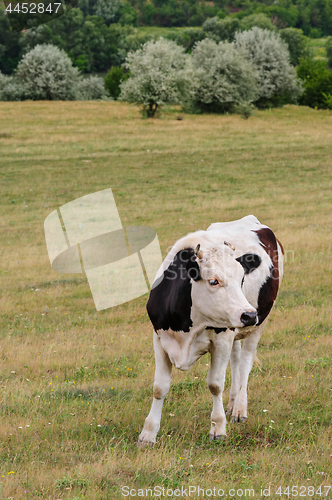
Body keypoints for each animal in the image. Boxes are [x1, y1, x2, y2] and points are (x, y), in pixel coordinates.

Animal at [137, 215, 282, 446]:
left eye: (242, 279)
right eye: (214, 281)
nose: (249, 315)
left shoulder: (221, 340)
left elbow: (215, 384)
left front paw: (218, 428)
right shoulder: (159, 338)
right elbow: (159, 387)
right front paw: (148, 433)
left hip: (260, 323)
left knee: (245, 363)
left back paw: (239, 408)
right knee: (237, 359)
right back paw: (232, 403)